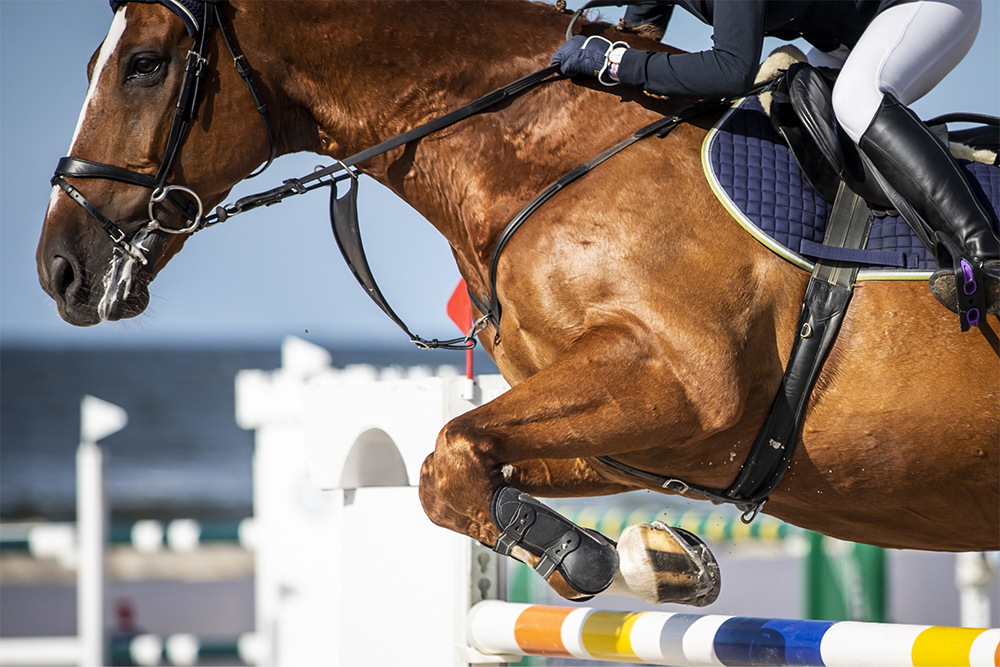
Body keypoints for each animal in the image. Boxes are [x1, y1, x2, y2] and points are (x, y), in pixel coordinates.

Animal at [36, 0, 1000, 606]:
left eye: (144, 65)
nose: (59, 270)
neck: (547, 153)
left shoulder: (690, 383)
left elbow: (449, 457)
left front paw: (598, 555)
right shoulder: (649, 439)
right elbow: (455, 465)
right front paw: (661, 559)